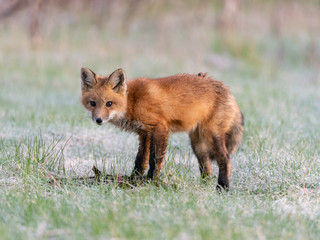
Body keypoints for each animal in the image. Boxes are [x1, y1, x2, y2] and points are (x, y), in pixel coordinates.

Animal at [81, 67, 244, 189]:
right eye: (93, 103)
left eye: (109, 103)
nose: (98, 120)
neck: (132, 101)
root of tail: (226, 89)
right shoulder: (144, 134)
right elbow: (140, 159)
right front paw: (134, 180)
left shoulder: (159, 128)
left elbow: (155, 160)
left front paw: (151, 181)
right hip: (198, 144)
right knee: (206, 167)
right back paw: (204, 186)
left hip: (211, 135)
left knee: (225, 159)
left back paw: (222, 188)